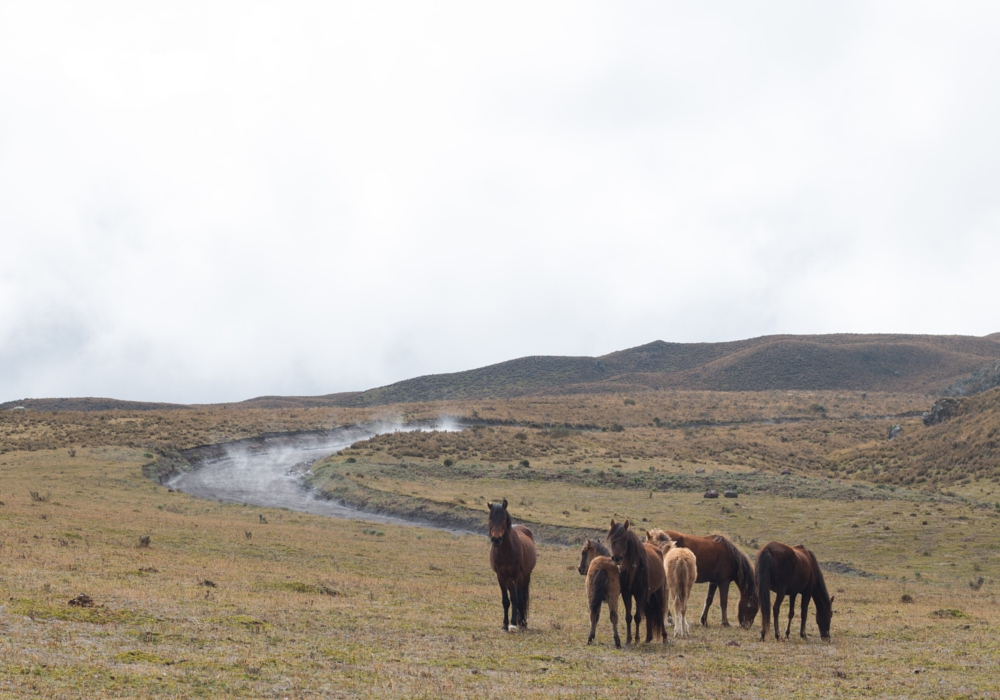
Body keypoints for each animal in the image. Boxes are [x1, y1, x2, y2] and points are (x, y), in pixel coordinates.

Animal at [486, 500, 536, 632]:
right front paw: (505, 624)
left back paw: (521, 622)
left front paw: (523, 623)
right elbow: (506, 600)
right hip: (509, 579)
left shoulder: (518, 576)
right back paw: (513, 622)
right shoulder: (501, 576)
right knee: (513, 597)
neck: (505, 551)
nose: (496, 539)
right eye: (490, 518)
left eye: (504, 518)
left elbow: (520, 600)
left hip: (525, 577)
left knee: (522, 597)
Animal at [604, 516, 668, 644]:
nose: (617, 558)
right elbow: (629, 617)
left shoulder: (640, 594)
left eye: (625, 539)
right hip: (648, 595)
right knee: (649, 612)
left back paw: (664, 637)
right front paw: (629, 639)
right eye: (612, 539)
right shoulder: (627, 594)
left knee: (660, 610)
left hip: (658, 591)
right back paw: (648, 638)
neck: (633, 569)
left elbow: (637, 617)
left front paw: (637, 639)